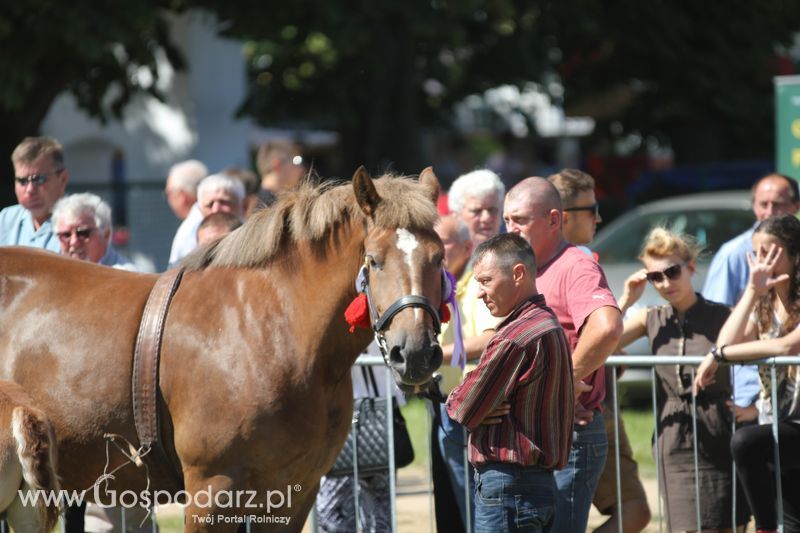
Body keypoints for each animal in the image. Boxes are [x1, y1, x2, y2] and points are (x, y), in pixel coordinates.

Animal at [0, 166, 444, 528]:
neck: (271, 331)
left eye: (439, 257)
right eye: (374, 260)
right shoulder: (211, 490)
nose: (416, 352)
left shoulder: (294, 494)